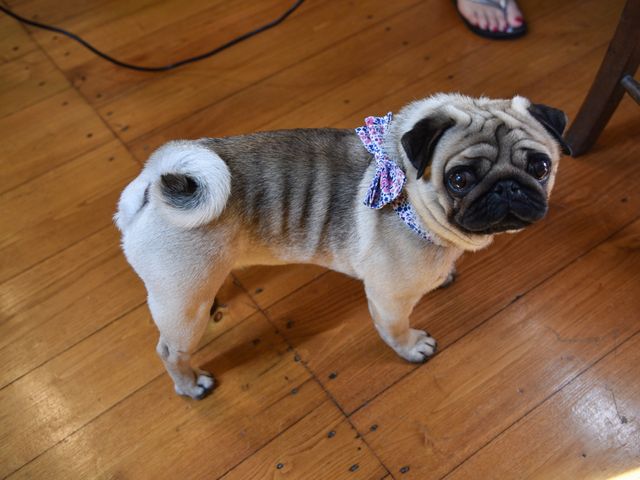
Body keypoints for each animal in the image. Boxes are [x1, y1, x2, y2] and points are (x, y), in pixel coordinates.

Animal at [115, 93, 568, 398]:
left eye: (540, 166)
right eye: (459, 179)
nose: (507, 187)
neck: (410, 192)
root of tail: (153, 183)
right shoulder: (389, 297)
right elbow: (395, 328)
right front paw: (412, 347)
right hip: (181, 307)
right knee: (169, 350)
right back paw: (191, 384)